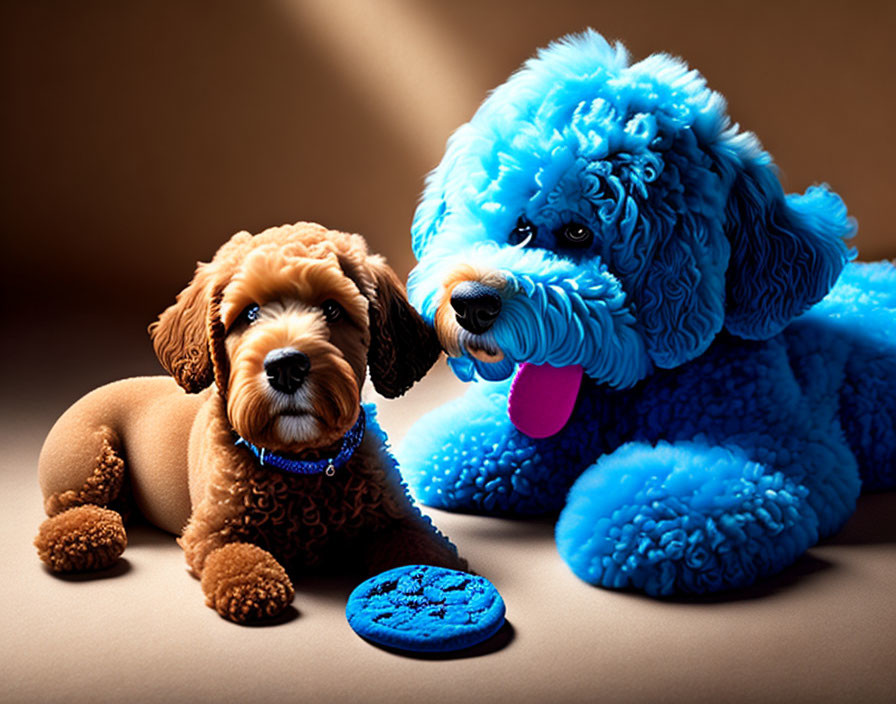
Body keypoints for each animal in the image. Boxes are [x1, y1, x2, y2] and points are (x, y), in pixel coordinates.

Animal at [35, 223, 466, 624]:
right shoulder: (212, 530)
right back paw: (83, 535)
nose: (286, 367)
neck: (303, 467)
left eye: (332, 309)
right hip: (88, 456)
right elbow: (236, 554)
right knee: (70, 505)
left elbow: (421, 546)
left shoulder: (396, 518)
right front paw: (254, 583)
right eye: (250, 313)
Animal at [400, 31, 896, 592]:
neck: (623, 390)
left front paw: (616, 523)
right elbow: (496, 448)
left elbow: (680, 489)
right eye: (520, 228)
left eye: (578, 232)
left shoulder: (792, 451)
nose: (470, 304)